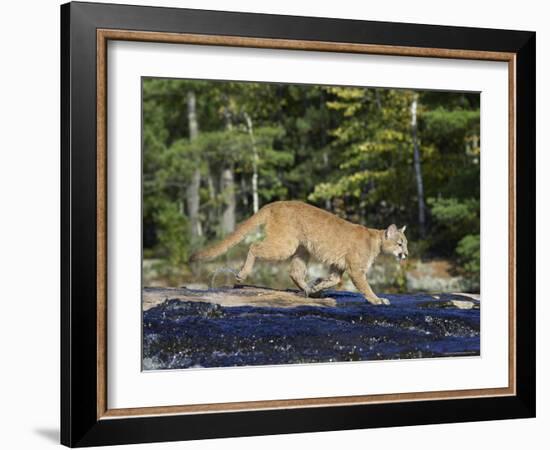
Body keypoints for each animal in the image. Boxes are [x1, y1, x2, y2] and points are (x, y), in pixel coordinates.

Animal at [192, 201, 408, 304]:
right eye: (400, 244)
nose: (406, 254)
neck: (376, 240)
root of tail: (274, 203)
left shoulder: (339, 266)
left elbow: (334, 279)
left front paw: (318, 286)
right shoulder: (356, 270)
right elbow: (365, 287)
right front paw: (377, 300)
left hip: (302, 249)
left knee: (294, 271)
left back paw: (308, 290)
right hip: (285, 244)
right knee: (254, 246)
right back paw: (242, 274)